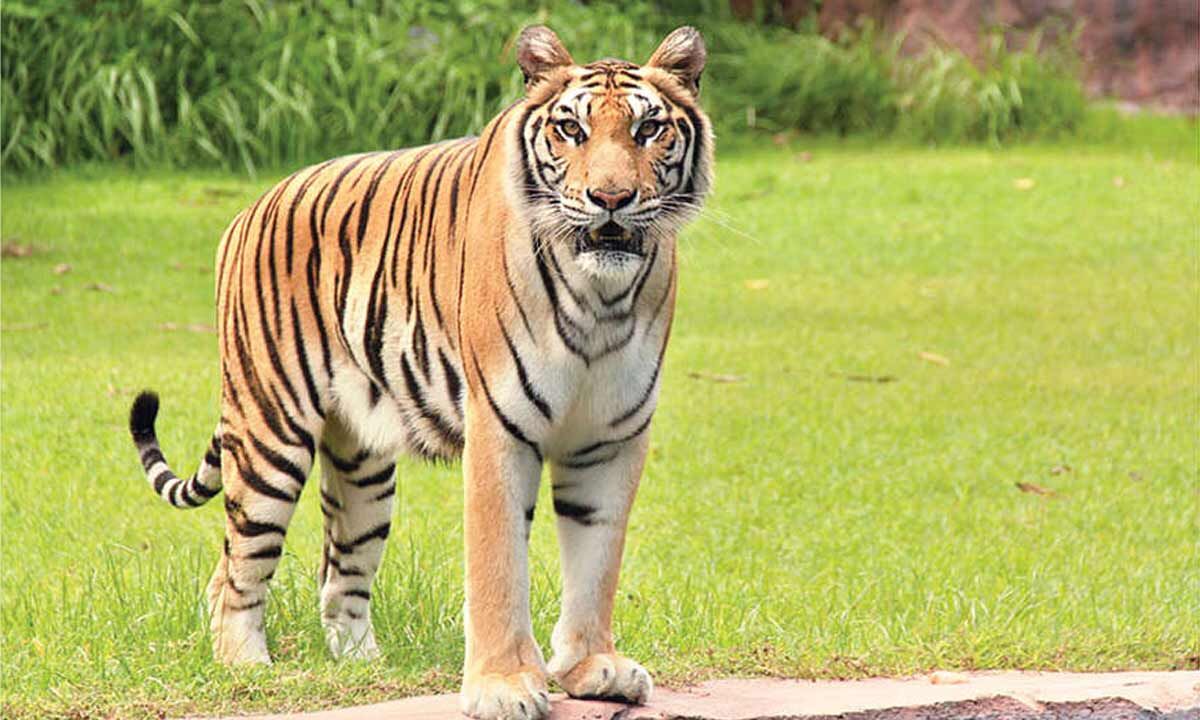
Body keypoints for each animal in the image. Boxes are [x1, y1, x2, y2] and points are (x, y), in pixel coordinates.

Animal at [127, 25, 711, 719]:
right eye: (572, 129)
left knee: (338, 577)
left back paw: (362, 667)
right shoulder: (501, 429)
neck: (602, 297)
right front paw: (503, 685)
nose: (612, 199)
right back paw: (248, 668)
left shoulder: (610, 437)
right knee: (233, 572)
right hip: (270, 434)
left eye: (649, 130)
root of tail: (249, 211)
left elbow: (597, 562)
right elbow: (498, 566)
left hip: (363, 468)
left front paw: (592, 668)